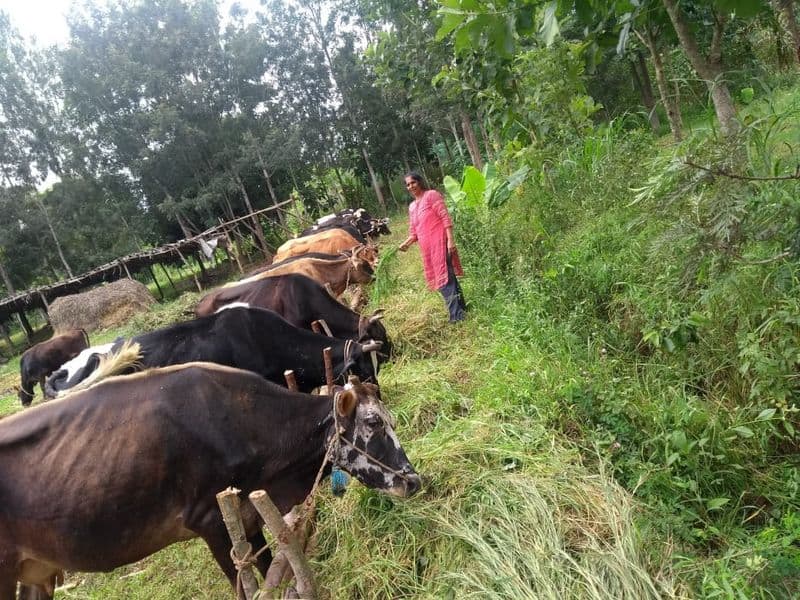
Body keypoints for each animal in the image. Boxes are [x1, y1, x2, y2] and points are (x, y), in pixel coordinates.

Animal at [0, 360, 424, 600]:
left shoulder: (250, 519)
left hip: (37, 572)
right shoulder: (212, 523)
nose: (413, 481)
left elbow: (269, 570)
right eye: (373, 422)